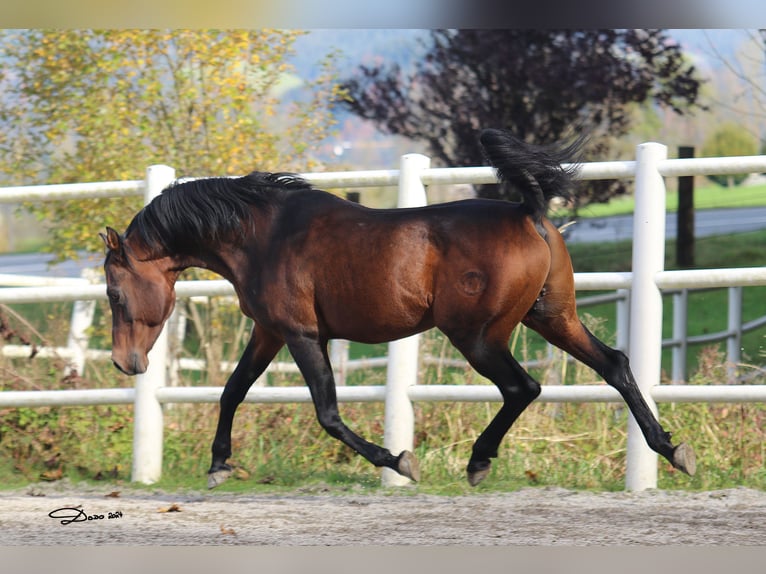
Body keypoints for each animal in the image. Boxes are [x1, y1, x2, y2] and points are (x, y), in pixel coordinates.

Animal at [100, 130, 696, 490]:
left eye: (114, 293)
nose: (126, 364)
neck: (263, 233)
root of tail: (527, 211)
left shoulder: (301, 334)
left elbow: (327, 413)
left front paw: (400, 461)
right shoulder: (270, 331)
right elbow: (232, 391)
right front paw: (219, 464)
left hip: (478, 335)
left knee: (523, 387)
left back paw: (478, 462)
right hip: (552, 317)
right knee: (614, 364)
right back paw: (671, 449)